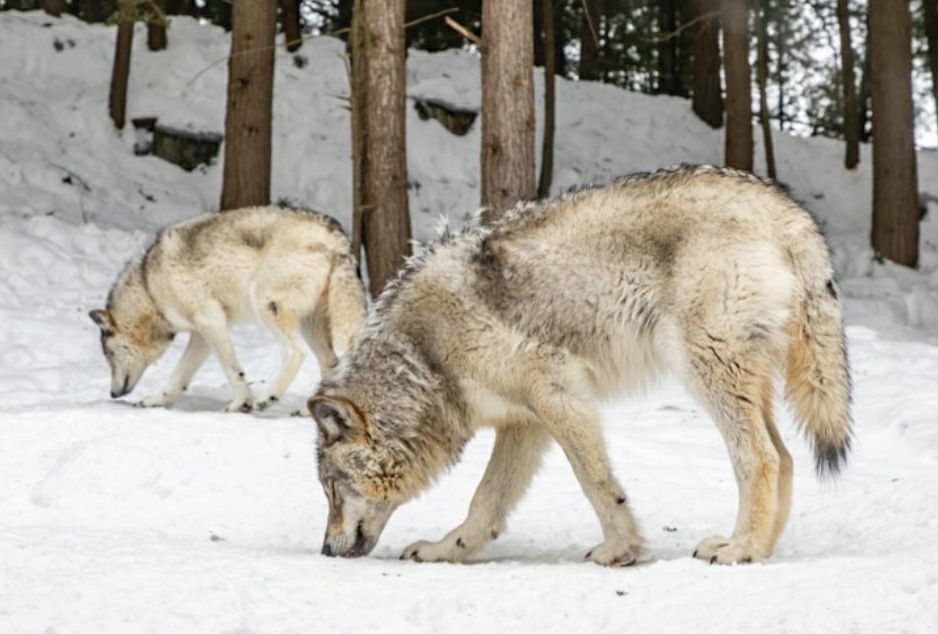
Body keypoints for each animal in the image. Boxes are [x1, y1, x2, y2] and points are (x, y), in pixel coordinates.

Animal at [88, 207, 366, 412]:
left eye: (109, 356)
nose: (112, 393)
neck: (150, 287)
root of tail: (336, 235)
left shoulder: (210, 320)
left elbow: (232, 367)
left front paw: (243, 402)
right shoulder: (200, 334)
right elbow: (179, 376)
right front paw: (156, 400)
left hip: (267, 306)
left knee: (295, 352)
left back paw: (269, 397)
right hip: (310, 325)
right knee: (331, 364)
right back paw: (310, 410)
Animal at [308, 163, 848, 564]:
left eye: (332, 489)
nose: (326, 551)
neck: (425, 355)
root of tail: (786, 210)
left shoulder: (559, 393)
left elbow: (595, 481)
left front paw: (620, 550)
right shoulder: (524, 422)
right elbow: (485, 500)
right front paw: (447, 549)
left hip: (706, 372)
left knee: (761, 457)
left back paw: (740, 549)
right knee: (786, 458)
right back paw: (758, 549)